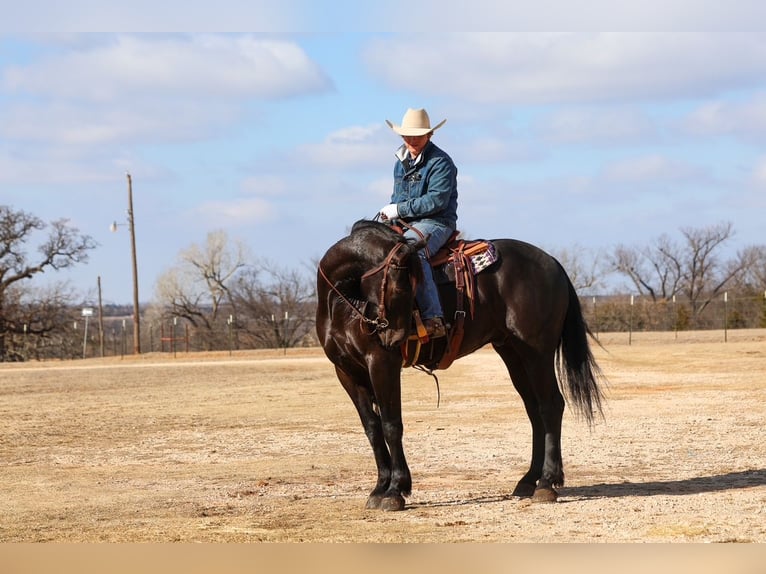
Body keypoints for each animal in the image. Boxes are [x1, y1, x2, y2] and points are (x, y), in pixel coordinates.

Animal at [316, 219, 604, 511]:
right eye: (399, 288)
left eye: (410, 288)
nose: (393, 339)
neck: (339, 303)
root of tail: (553, 262)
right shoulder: (347, 372)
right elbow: (372, 429)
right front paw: (379, 488)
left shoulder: (382, 363)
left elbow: (391, 425)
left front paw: (395, 490)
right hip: (513, 353)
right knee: (534, 411)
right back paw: (528, 480)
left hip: (537, 353)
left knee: (550, 406)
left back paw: (546, 482)